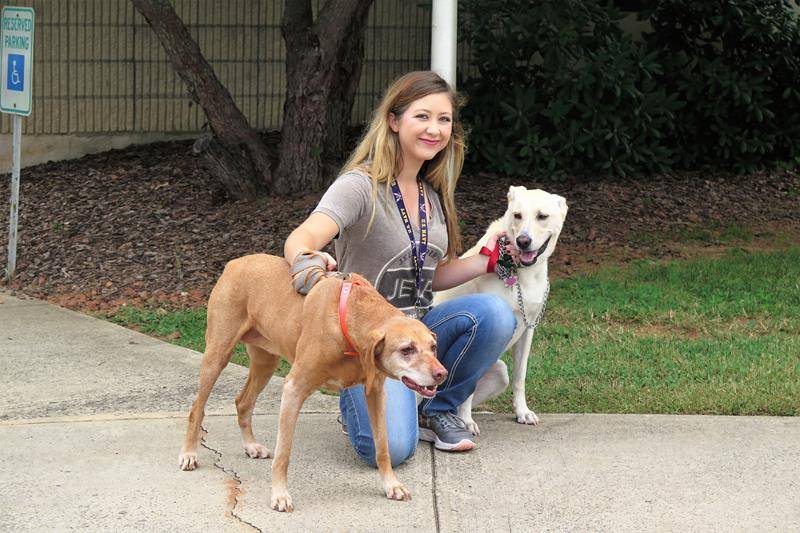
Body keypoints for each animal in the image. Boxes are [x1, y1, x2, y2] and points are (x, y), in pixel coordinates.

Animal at [177, 254, 446, 512]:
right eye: (407, 349)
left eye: (433, 347)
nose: (441, 374)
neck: (349, 320)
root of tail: (235, 263)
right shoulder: (294, 389)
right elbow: (284, 454)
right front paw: (279, 495)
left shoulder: (375, 392)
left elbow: (383, 447)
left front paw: (391, 484)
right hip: (217, 354)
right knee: (197, 408)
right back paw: (189, 453)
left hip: (266, 362)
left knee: (243, 402)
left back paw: (251, 445)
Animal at [434, 185, 564, 434]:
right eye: (517, 215)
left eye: (542, 216)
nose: (523, 241)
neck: (523, 272)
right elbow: (466, 388)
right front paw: (466, 421)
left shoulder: (528, 329)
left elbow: (520, 377)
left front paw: (522, 412)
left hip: (499, 373)